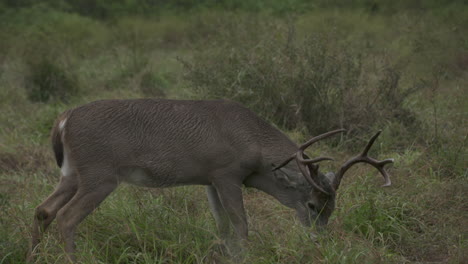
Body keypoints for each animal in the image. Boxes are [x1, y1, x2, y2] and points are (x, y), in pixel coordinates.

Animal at [29, 99, 394, 262]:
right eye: (312, 204)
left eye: (332, 208)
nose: (318, 239)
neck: (253, 142)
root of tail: (63, 120)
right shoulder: (226, 173)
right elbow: (242, 226)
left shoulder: (209, 180)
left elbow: (223, 228)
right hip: (100, 174)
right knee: (66, 217)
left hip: (72, 173)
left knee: (43, 210)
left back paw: (33, 256)